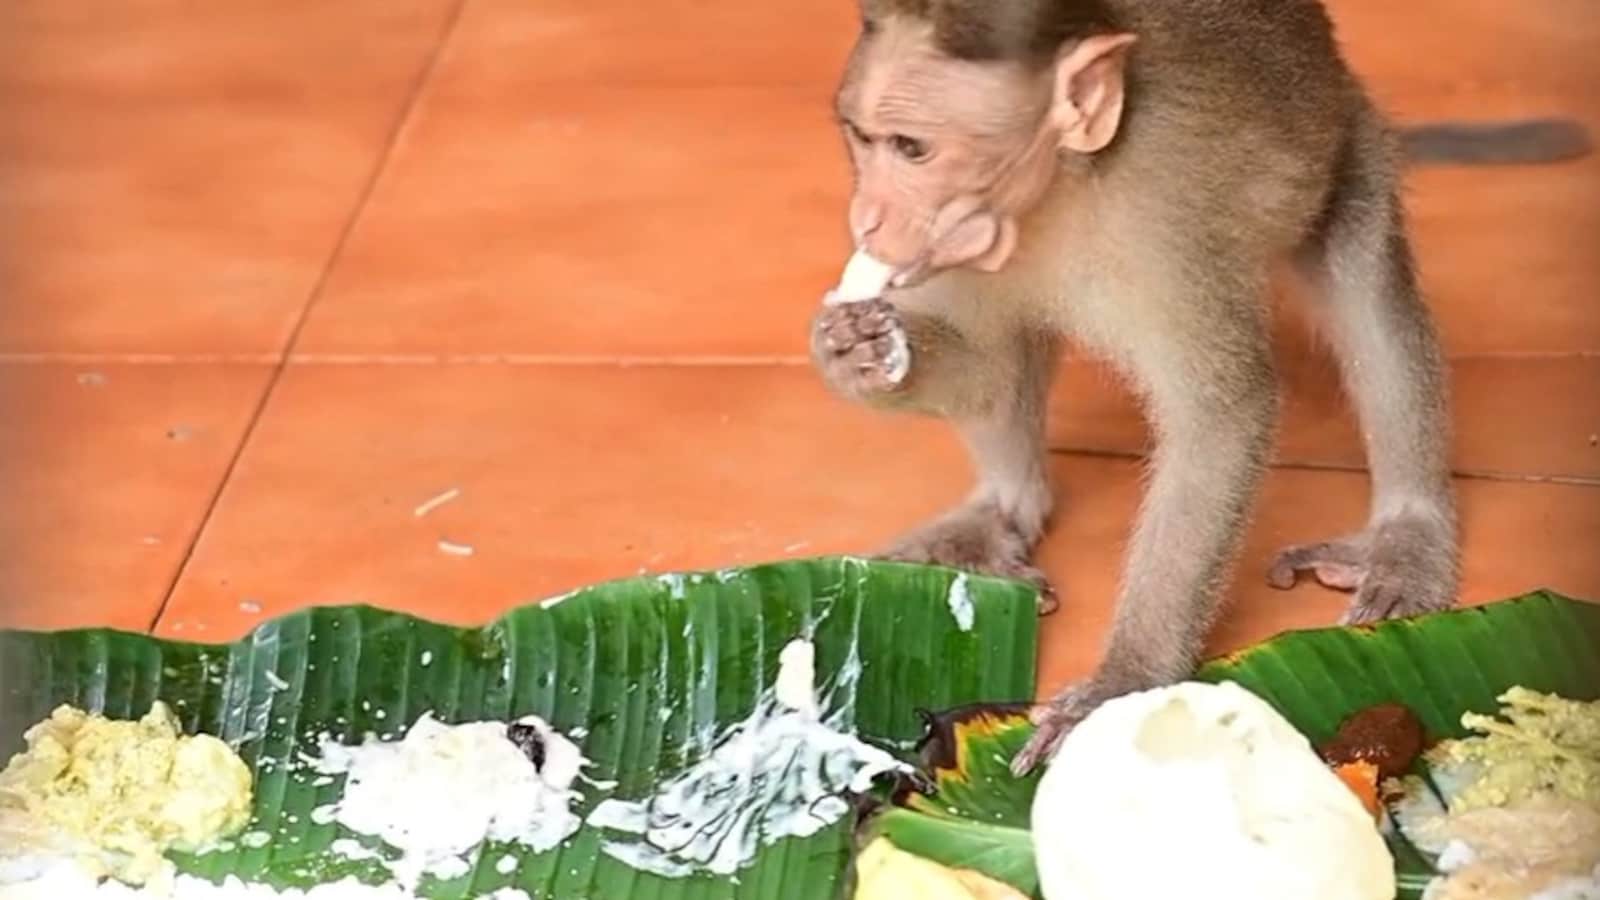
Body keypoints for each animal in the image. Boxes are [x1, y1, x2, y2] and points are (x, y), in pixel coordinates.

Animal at [808, 0, 1460, 774]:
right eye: (861, 137)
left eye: (912, 149)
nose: (866, 218)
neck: (1058, 187)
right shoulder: (953, 242)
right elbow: (990, 365)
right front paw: (857, 354)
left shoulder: (1163, 223)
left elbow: (1222, 412)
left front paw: (1128, 676)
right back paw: (1004, 507)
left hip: (1351, 143)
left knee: (1363, 286)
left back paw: (1407, 528)